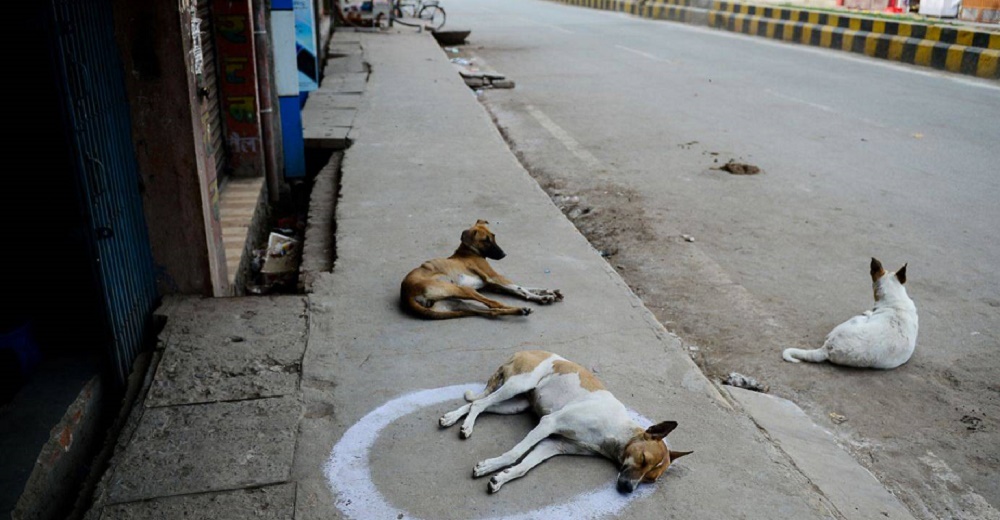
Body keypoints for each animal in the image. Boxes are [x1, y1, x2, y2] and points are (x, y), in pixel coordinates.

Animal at [402, 218, 568, 318]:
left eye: (493, 236)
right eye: (485, 240)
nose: (504, 254)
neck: (468, 251)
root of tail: (406, 294)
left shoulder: (493, 285)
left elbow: (523, 287)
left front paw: (548, 292)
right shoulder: (494, 277)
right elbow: (521, 289)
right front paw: (541, 297)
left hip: (456, 302)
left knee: (491, 311)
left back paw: (520, 310)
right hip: (463, 290)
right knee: (494, 304)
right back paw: (522, 309)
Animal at [442, 352, 692, 494]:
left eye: (650, 479)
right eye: (643, 459)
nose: (628, 489)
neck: (616, 432)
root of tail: (527, 349)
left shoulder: (552, 445)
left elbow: (524, 466)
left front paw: (502, 478)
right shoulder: (548, 423)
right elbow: (515, 454)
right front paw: (490, 466)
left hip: (516, 403)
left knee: (479, 404)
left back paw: (454, 419)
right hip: (518, 385)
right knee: (479, 403)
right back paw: (466, 425)